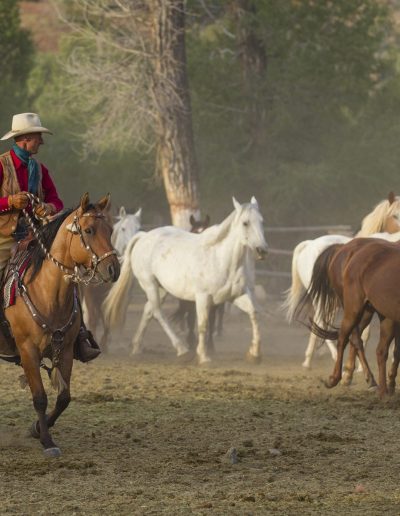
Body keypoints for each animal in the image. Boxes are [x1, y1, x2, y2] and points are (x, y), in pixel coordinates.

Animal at [3, 192, 119, 456]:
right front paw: (47, 442)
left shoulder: (65, 350)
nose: (113, 269)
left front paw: (37, 429)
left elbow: (64, 397)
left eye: (110, 230)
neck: (47, 292)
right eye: (88, 230)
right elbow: (40, 397)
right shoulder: (28, 351)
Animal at [101, 197, 268, 362]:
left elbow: (253, 313)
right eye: (245, 222)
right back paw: (182, 349)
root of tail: (143, 237)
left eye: (262, 221)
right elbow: (202, 323)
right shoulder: (202, 297)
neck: (221, 258)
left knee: (149, 309)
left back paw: (136, 348)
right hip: (149, 284)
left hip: (161, 288)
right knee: (157, 311)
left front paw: (254, 353)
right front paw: (203, 356)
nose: (262, 250)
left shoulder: (236, 296)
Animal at [282, 192, 400, 366]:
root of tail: (309, 244)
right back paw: (334, 356)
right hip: (323, 299)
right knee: (321, 322)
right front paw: (356, 366)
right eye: (394, 215)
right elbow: (365, 333)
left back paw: (308, 361)